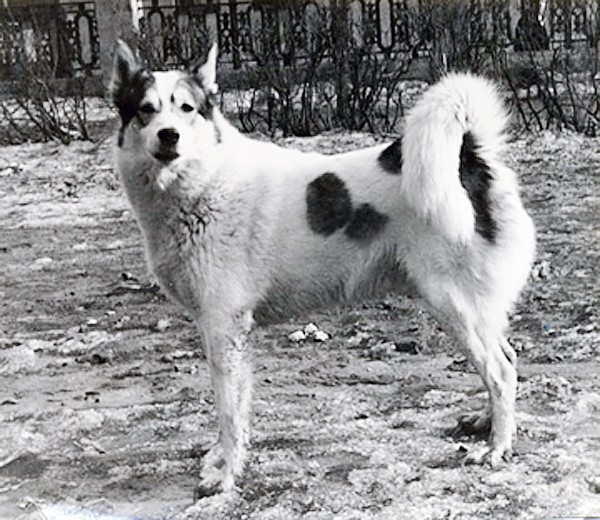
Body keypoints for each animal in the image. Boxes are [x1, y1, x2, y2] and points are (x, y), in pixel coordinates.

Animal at [110, 40, 535, 495]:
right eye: (146, 110)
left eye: (186, 108)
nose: (168, 135)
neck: (205, 181)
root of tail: (469, 155)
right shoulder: (228, 332)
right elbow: (238, 407)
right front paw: (222, 462)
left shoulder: (223, 326)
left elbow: (227, 412)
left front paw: (226, 476)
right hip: (475, 309)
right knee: (505, 361)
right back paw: (486, 424)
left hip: (454, 305)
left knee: (500, 372)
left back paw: (497, 447)